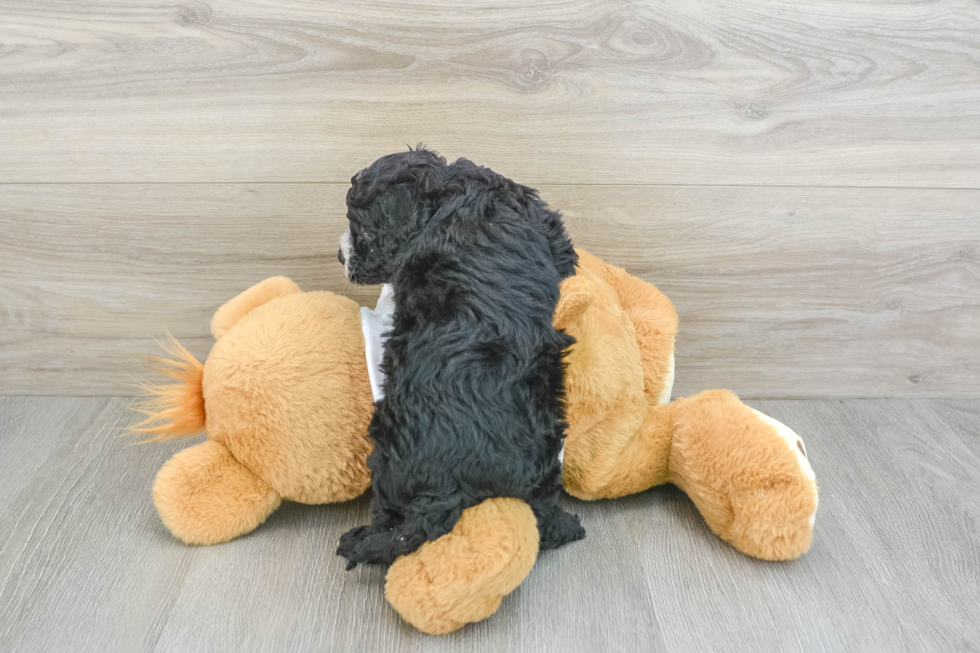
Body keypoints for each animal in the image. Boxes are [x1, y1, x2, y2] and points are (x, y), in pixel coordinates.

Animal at [336, 146, 580, 564]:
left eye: (361, 228)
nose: (340, 256)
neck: (449, 191)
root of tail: (450, 486)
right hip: (544, 456)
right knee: (544, 516)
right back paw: (565, 524)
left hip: (386, 450)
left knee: (389, 515)